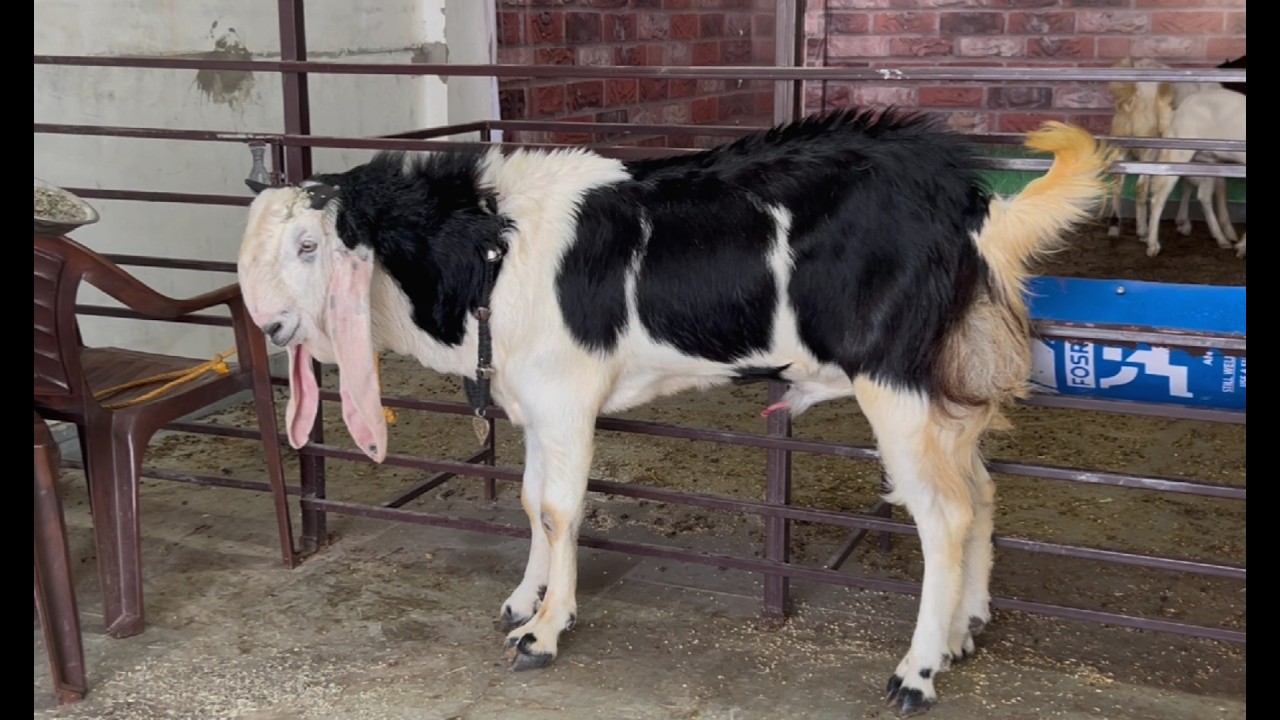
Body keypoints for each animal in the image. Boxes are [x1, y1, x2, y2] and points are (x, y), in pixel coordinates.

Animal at [237, 109, 1110, 715]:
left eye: (309, 246)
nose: (268, 324)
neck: (492, 248)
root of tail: (964, 199)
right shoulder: (533, 398)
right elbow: (530, 500)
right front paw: (525, 598)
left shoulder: (566, 393)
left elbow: (560, 510)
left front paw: (544, 631)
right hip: (945, 389)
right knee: (982, 493)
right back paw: (967, 629)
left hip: (894, 383)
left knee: (944, 515)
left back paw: (918, 671)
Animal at [1144, 89, 1247, 258]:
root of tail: (1178, 111)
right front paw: (1242, 246)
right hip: (1178, 154)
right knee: (1159, 196)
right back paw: (1153, 245)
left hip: (1208, 161)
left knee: (1204, 195)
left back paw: (1221, 239)